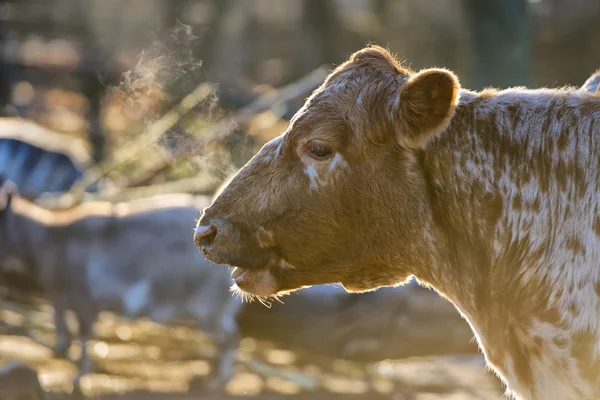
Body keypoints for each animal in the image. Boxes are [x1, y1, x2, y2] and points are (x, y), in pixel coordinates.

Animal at [0, 177, 239, 392]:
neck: (52, 238)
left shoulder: (83, 299)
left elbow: (84, 336)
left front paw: (79, 378)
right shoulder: (60, 293)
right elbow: (58, 315)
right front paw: (61, 347)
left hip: (208, 309)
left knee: (230, 337)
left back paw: (219, 380)